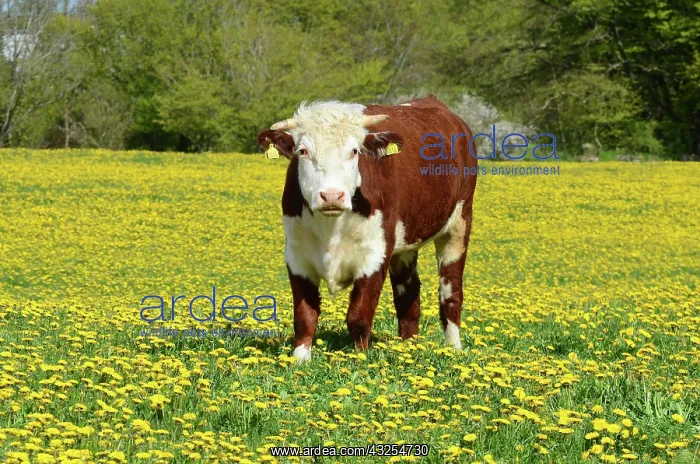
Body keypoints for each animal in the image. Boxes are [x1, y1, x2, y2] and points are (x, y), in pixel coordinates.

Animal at [257, 96, 478, 361]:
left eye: (354, 151)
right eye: (303, 151)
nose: (332, 195)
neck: (331, 228)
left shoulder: (376, 253)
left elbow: (359, 315)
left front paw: (359, 357)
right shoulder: (297, 255)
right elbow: (304, 316)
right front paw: (300, 359)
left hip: (459, 224)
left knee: (451, 291)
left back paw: (453, 347)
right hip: (406, 244)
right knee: (408, 292)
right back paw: (408, 345)